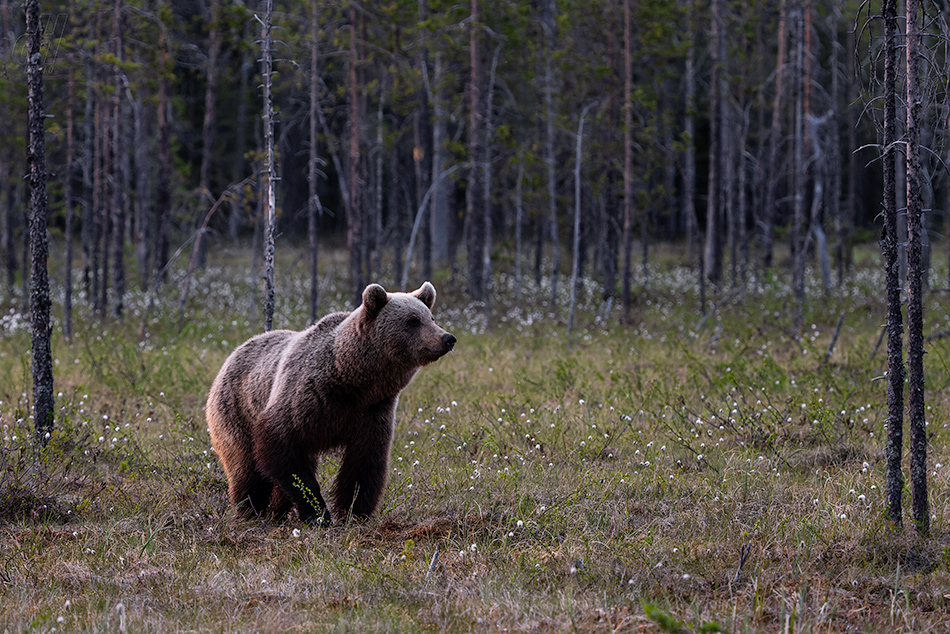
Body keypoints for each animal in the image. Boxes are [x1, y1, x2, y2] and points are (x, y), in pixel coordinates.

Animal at [207, 282, 458, 524]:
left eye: (431, 317)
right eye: (413, 320)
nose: (448, 338)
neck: (352, 379)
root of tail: (235, 351)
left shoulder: (373, 411)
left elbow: (364, 463)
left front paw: (354, 512)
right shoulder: (306, 396)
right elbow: (281, 441)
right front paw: (318, 513)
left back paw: (276, 510)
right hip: (236, 409)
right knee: (245, 466)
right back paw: (250, 509)